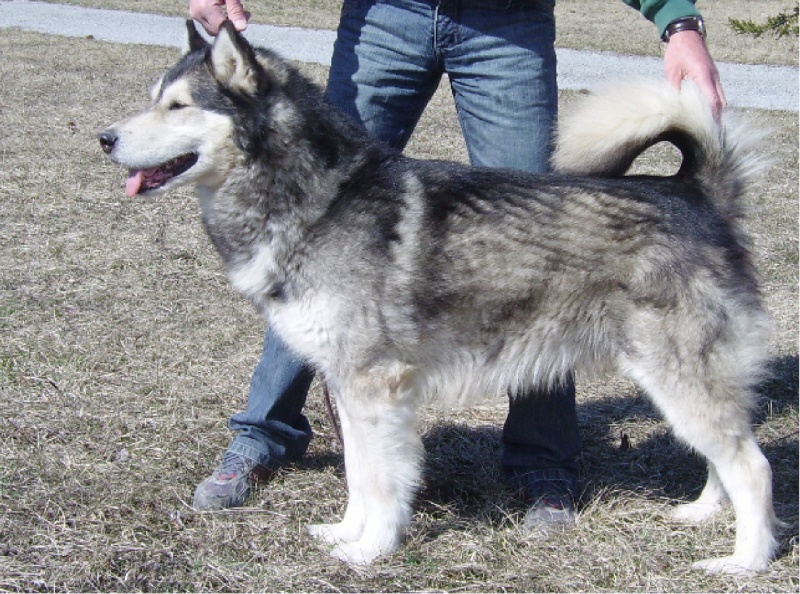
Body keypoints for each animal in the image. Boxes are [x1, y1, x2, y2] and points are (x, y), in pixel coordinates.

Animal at [98, 20, 776, 572]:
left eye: (179, 106)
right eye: (155, 100)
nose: (105, 138)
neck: (319, 200)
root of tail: (694, 193)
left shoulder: (377, 388)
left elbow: (381, 481)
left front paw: (370, 551)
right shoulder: (349, 389)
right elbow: (358, 474)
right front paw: (346, 534)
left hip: (678, 377)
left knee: (753, 465)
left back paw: (743, 561)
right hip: (679, 382)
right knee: (725, 456)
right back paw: (703, 513)